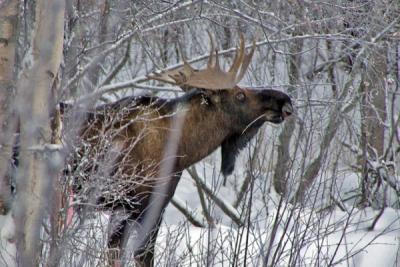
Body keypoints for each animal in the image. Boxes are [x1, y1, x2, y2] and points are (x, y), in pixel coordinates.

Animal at [63, 34, 294, 267]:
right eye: (240, 95)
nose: (284, 100)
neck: (184, 149)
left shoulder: (124, 209)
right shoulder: (146, 205)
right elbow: (142, 256)